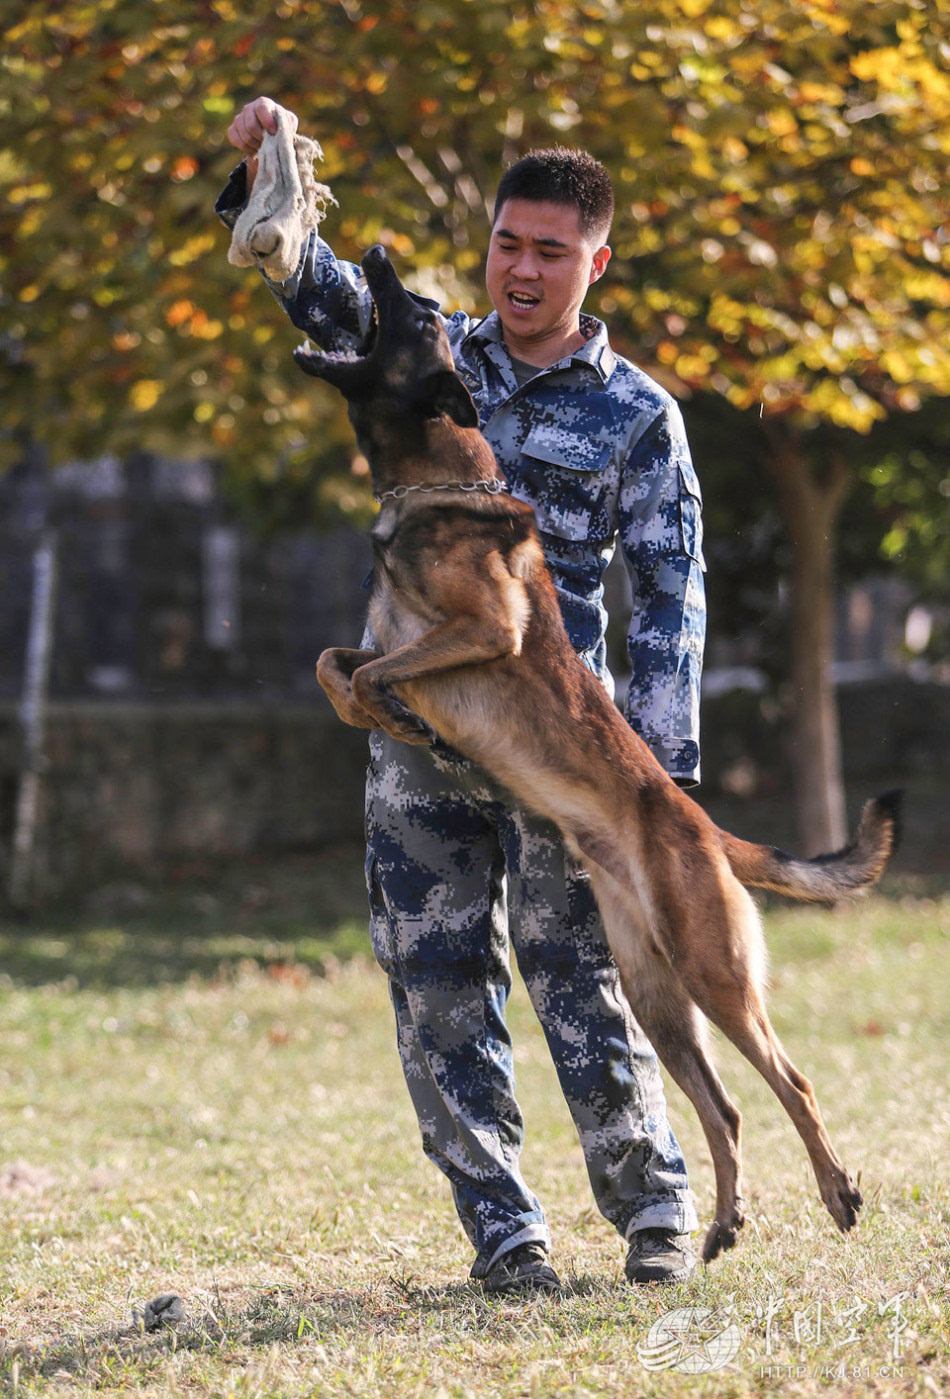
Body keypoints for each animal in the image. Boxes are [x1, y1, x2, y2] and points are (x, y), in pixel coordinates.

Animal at [295, 243, 901, 1270]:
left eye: (412, 314)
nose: (372, 255)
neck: (429, 483)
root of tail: (703, 827)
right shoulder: (388, 636)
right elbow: (337, 663)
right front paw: (397, 718)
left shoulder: (487, 629)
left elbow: (375, 665)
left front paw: (400, 711)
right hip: (658, 997)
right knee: (726, 1109)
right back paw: (722, 1224)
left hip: (714, 978)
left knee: (794, 1084)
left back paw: (836, 1191)